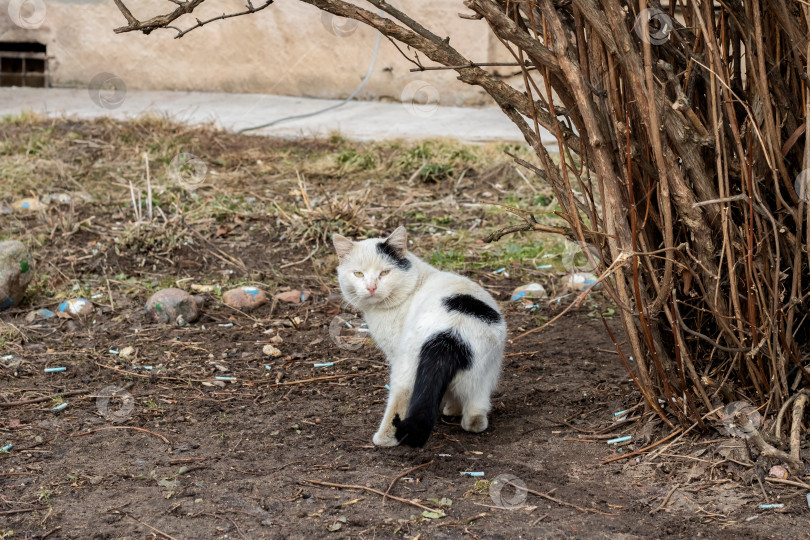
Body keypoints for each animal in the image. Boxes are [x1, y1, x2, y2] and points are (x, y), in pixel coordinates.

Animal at [332, 227, 502, 448]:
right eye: (358, 274)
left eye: (384, 273)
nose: (371, 288)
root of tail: (451, 332)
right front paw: (453, 408)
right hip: (484, 371)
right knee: (476, 407)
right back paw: (470, 420)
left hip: (406, 366)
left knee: (400, 400)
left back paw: (384, 439)